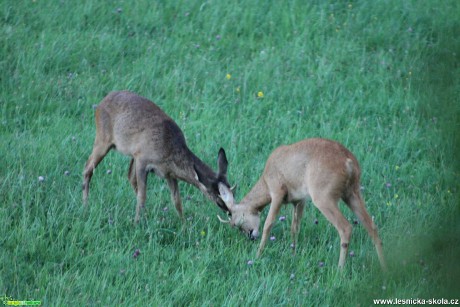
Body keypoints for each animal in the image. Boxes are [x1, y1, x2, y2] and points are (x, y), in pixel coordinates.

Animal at [82, 90, 232, 223]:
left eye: (233, 192)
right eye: (219, 201)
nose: (230, 213)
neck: (170, 148)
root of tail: (101, 103)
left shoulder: (169, 173)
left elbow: (177, 201)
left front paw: (184, 226)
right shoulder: (143, 160)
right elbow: (142, 196)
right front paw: (136, 223)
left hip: (131, 153)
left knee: (129, 176)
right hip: (103, 139)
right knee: (88, 168)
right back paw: (85, 206)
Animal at [217, 138, 386, 270]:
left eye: (236, 223)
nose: (250, 236)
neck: (266, 178)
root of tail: (348, 162)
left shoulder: (277, 192)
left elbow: (268, 224)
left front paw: (258, 255)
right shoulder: (299, 201)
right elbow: (295, 228)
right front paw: (293, 253)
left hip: (323, 198)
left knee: (345, 227)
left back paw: (340, 269)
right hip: (352, 194)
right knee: (372, 226)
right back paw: (384, 267)